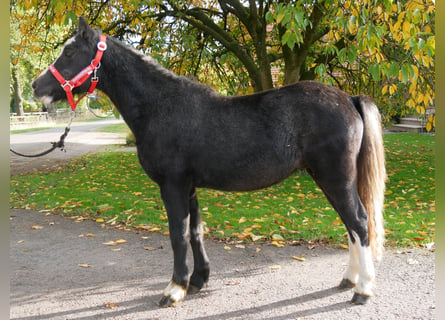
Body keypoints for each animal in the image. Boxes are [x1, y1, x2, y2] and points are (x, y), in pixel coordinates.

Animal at [32, 18, 386, 308]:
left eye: (69, 52)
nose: (37, 86)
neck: (160, 106)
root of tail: (349, 98)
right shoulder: (188, 187)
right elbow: (196, 231)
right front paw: (198, 280)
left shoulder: (172, 186)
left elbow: (177, 235)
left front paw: (174, 289)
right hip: (327, 178)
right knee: (351, 225)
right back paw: (350, 279)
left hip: (335, 178)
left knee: (358, 221)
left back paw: (363, 289)